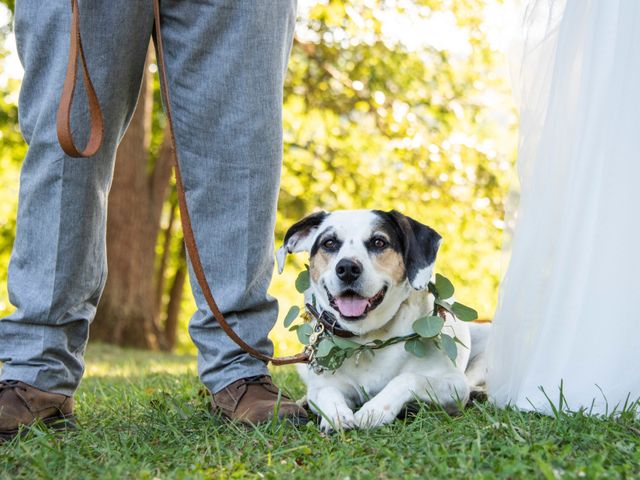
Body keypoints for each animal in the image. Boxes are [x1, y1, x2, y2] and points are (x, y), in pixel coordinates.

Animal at [276, 210, 490, 432]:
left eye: (379, 242)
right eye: (329, 243)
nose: (347, 268)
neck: (366, 339)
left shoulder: (453, 384)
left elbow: (409, 378)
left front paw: (374, 410)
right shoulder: (324, 384)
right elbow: (327, 392)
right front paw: (337, 414)